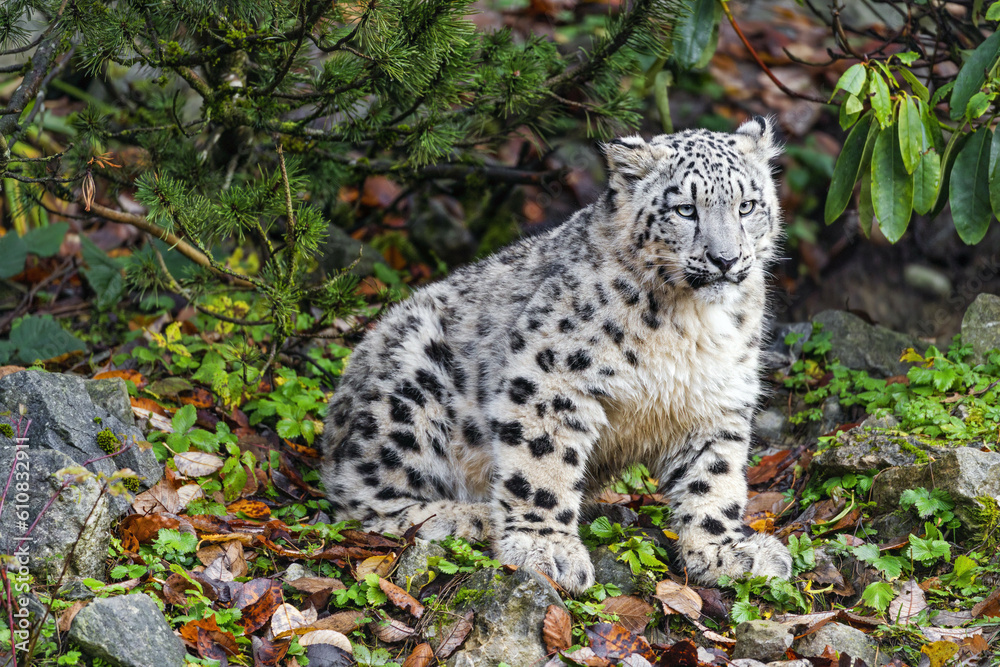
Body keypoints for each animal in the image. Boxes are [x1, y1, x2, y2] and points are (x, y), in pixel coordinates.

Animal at [324, 115, 792, 596]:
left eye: (747, 206)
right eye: (685, 210)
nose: (725, 259)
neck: (694, 326)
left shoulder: (717, 400)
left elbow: (713, 475)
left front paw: (725, 552)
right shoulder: (554, 376)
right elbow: (543, 462)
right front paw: (546, 549)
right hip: (410, 390)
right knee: (358, 498)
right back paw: (469, 516)